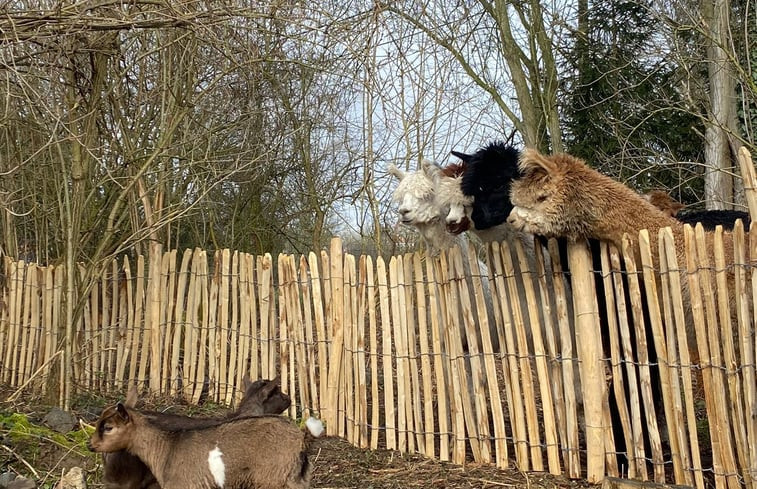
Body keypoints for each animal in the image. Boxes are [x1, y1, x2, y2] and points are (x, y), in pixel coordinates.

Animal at [92, 400, 322, 488]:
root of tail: (301, 438)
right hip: (297, 479)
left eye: (108, 427)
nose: (91, 446)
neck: (166, 448)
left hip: (272, 479)